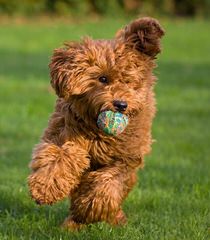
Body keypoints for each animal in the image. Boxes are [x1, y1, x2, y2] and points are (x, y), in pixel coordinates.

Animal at [27, 17, 165, 231]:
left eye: (128, 81)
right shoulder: (64, 134)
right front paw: (46, 189)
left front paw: (90, 208)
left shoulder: (126, 158)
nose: (121, 105)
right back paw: (73, 223)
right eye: (103, 78)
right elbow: (60, 157)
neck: (99, 132)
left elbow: (109, 184)